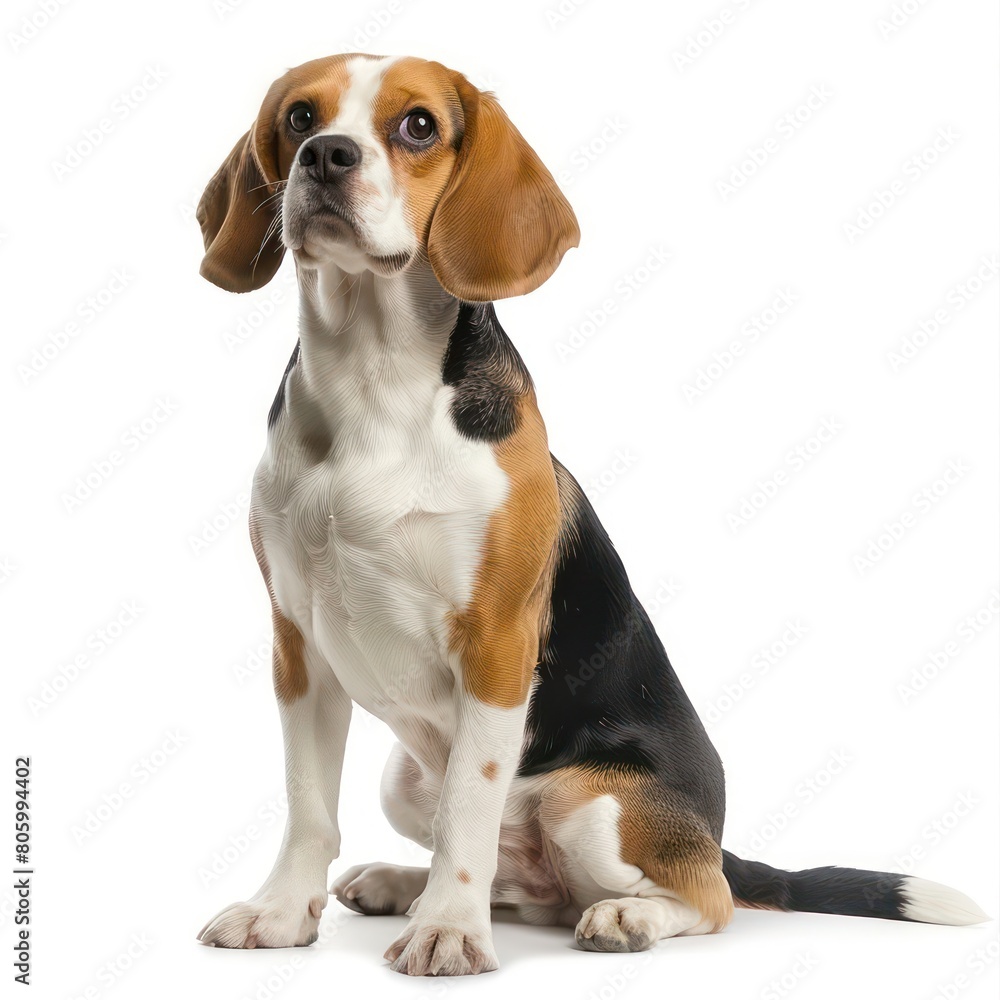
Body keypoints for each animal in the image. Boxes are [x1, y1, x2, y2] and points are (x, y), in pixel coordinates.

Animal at [191, 50, 988, 972]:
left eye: (418, 125)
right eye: (299, 117)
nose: (326, 156)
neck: (372, 379)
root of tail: (709, 837)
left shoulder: (496, 644)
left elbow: (469, 807)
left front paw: (449, 931)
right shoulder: (298, 647)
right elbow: (307, 802)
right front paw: (283, 913)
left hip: (595, 808)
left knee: (702, 897)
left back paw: (619, 916)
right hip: (403, 780)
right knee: (525, 886)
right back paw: (402, 883)